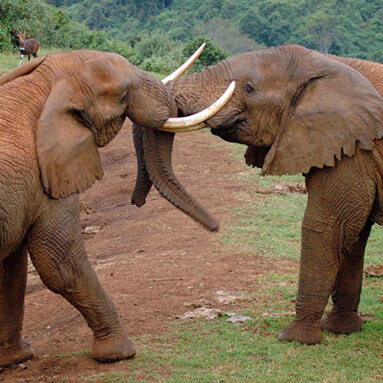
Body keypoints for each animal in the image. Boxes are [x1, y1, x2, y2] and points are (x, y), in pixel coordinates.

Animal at [0, 49, 234, 368]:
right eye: (123, 95)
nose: (215, 227)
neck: (42, 84)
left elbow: (11, 269)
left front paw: (15, 357)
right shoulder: (46, 175)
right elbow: (60, 265)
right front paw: (120, 353)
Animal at [133, 43, 383, 346]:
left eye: (249, 88)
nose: (215, 226)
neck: (327, 62)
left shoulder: (349, 145)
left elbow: (328, 227)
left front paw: (295, 337)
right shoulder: (348, 144)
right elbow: (353, 234)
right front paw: (340, 329)